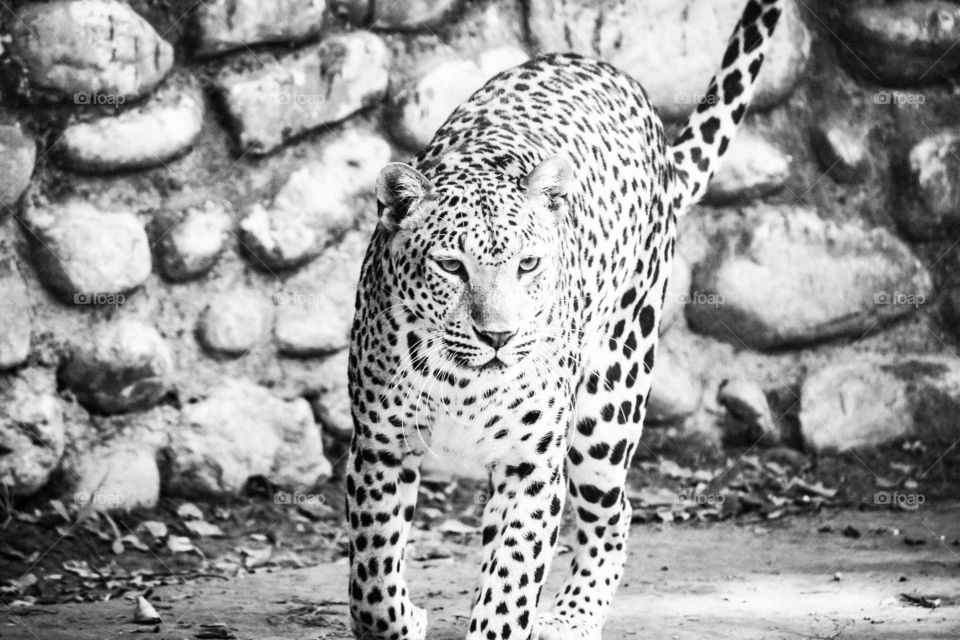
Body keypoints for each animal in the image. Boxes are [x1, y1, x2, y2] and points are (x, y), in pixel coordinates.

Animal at [345, 1, 784, 638]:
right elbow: (373, 579)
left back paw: (573, 617)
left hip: (609, 403)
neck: (461, 382)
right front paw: (404, 617)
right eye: (451, 266)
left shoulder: (533, 464)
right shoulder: (380, 447)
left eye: (528, 264)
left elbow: (509, 589)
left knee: (615, 511)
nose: (498, 337)